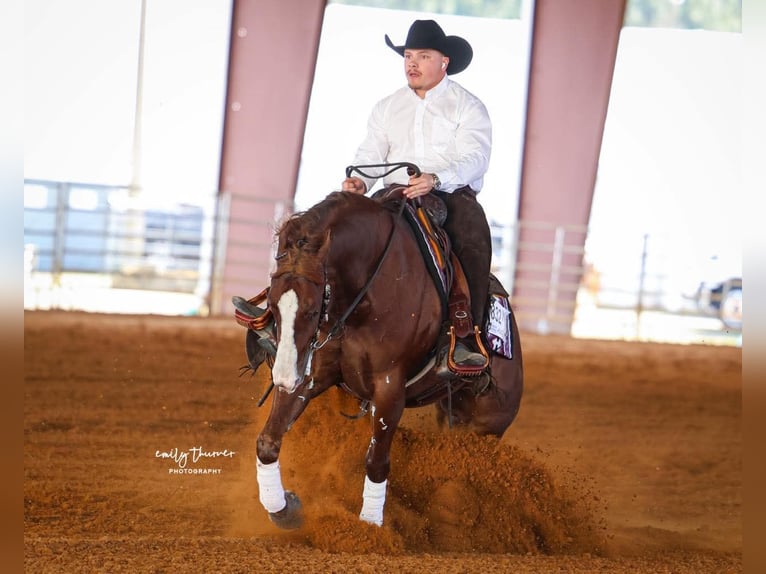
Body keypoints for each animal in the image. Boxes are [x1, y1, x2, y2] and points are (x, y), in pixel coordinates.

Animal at [252, 190, 520, 532]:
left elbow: (376, 462)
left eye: (312, 310)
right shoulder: (311, 371)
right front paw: (284, 509)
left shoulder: (389, 387)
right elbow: (268, 441)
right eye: (272, 305)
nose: (284, 378)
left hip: (487, 424)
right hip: (454, 416)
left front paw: (368, 529)